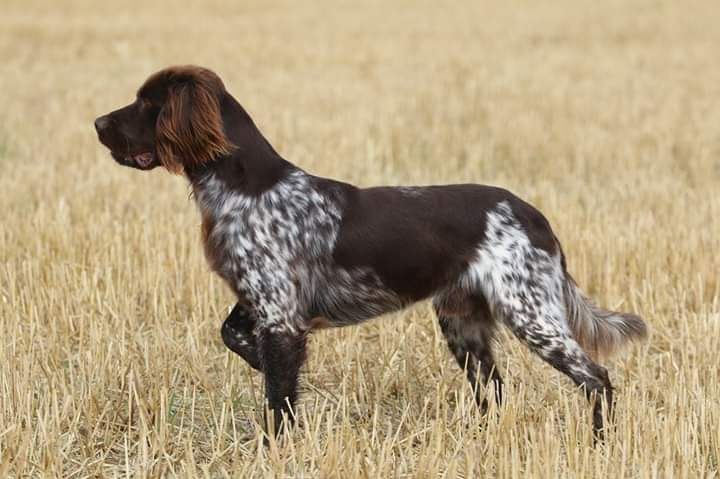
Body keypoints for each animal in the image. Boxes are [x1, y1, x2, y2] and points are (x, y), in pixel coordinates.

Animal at [95, 65, 648, 440]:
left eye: (147, 103)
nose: (98, 123)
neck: (244, 187)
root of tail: (534, 214)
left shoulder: (279, 315)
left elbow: (278, 398)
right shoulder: (262, 303)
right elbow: (233, 337)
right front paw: (256, 363)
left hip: (530, 313)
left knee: (596, 379)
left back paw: (599, 443)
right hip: (463, 325)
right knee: (493, 388)